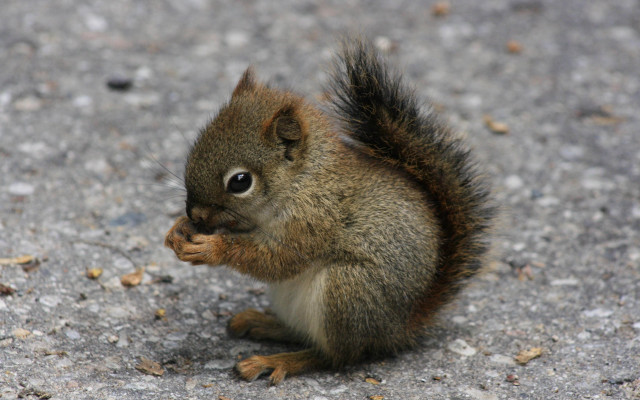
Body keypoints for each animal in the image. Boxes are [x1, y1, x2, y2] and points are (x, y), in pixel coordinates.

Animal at [164, 38, 494, 385]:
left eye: (240, 182)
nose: (196, 214)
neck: (302, 180)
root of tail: (399, 328)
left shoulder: (314, 219)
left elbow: (279, 260)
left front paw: (211, 248)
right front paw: (178, 231)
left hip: (348, 291)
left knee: (334, 356)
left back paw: (277, 360)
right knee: (302, 334)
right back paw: (262, 323)